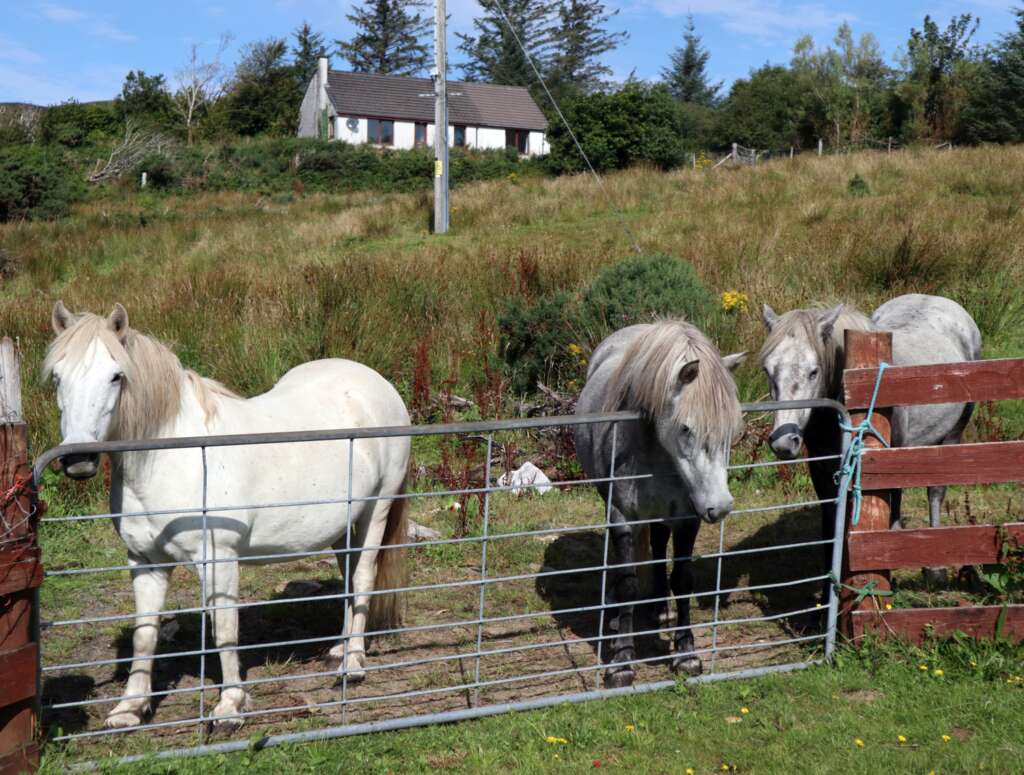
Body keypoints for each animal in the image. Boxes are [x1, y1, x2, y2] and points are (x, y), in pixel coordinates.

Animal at [44, 300, 411, 724]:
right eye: (57, 377)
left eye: (116, 376)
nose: (78, 459)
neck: (173, 459)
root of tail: (377, 383)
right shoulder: (145, 561)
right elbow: (145, 634)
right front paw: (130, 708)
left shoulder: (219, 560)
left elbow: (224, 630)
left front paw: (230, 705)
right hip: (342, 526)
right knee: (349, 577)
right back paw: (339, 649)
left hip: (375, 512)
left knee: (364, 577)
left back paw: (352, 665)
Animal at [577, 317, 745, 687]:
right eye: (686, 429)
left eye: (731, 429)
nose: (720, 506)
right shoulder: (621, 516)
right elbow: (627, 583)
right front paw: (622, 661)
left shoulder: (687, 518)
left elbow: (682, 579)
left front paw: (687, 654)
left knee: (656, 545)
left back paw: (660, 607)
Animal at [761, 292, 983, 581]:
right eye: (767, 370)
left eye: (813, 371)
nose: (784, 443)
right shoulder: (823, 470)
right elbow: (832, 521)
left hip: (951, 435)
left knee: (934, 492)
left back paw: (935, 570)